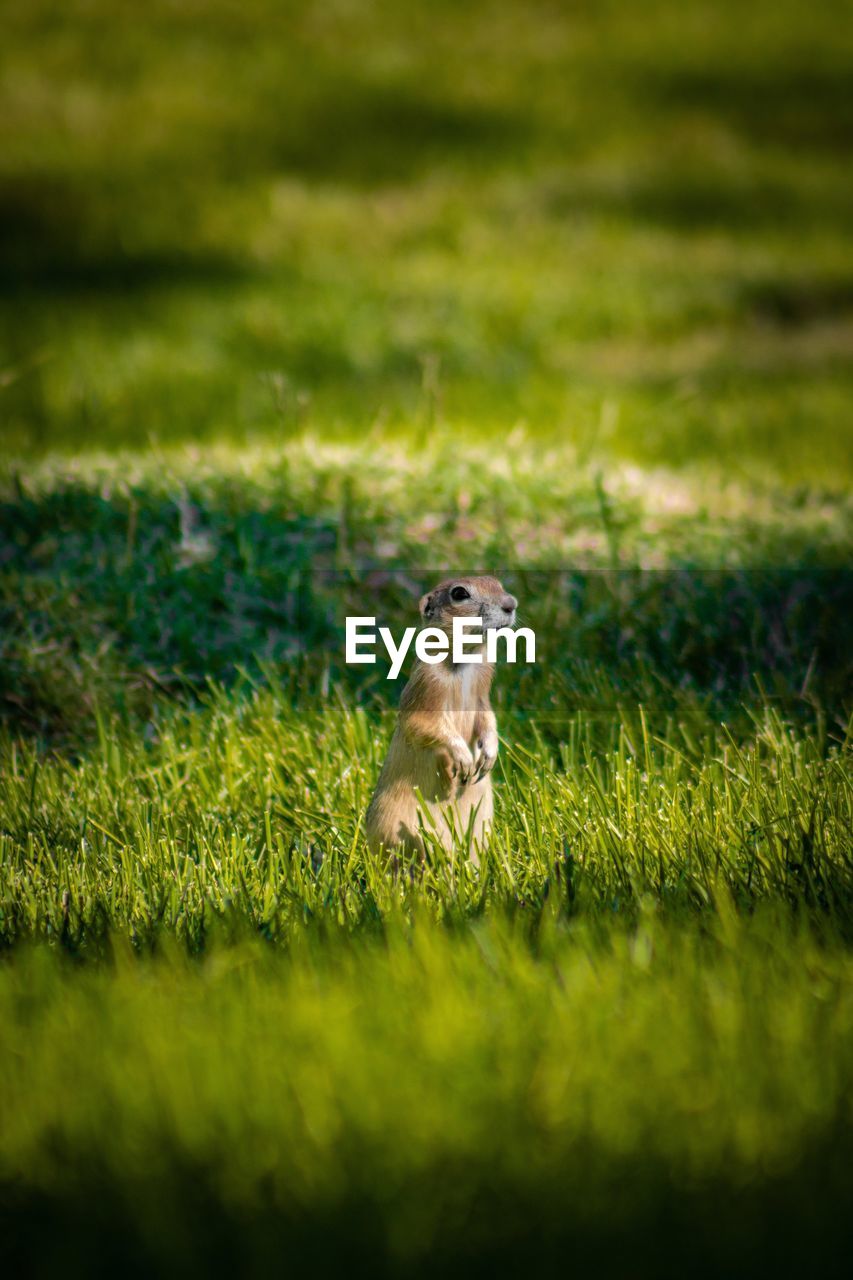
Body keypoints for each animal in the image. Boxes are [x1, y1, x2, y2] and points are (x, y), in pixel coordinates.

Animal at [363, 578, 514, 860]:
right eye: (459, 593)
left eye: (498, 583)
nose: (511, 604)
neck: (464, 662)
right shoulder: (426, 685)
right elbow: (423, 724)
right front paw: (464, 759)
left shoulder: (482, 690)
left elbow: (487, 718)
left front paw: (488, 755)